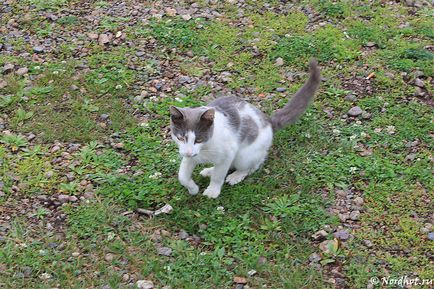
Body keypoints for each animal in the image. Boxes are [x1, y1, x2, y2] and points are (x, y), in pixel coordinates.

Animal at [171, 58, 320, 198]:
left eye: (199, 139)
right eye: (181, 138)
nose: (189, 152)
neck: (205, 149)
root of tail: (268, 121)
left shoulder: (228, 152)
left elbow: (219, 175)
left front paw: (212, 191)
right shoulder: (189, 155)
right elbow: (182, 176)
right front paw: (193, 189)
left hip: (244, 155)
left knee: (253, 165)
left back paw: (235, 176)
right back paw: (209, 170)